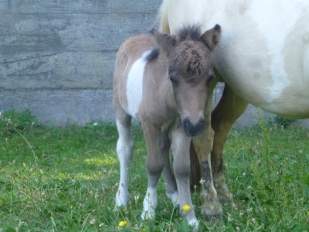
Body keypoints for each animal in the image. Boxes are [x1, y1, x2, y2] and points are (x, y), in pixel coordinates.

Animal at [113, 24, 221, 227]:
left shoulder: (181, 126)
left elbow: (182, 167)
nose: (195, 126)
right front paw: (148, 211)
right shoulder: (149, 124)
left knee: (163, 147)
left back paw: (174, 195)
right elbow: (153, 165)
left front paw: (189, 216)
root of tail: (132, 39)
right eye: (172, 78)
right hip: (120, 110)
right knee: (125, 148)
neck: (166, 98)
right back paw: (121, 200)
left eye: (210, 77)